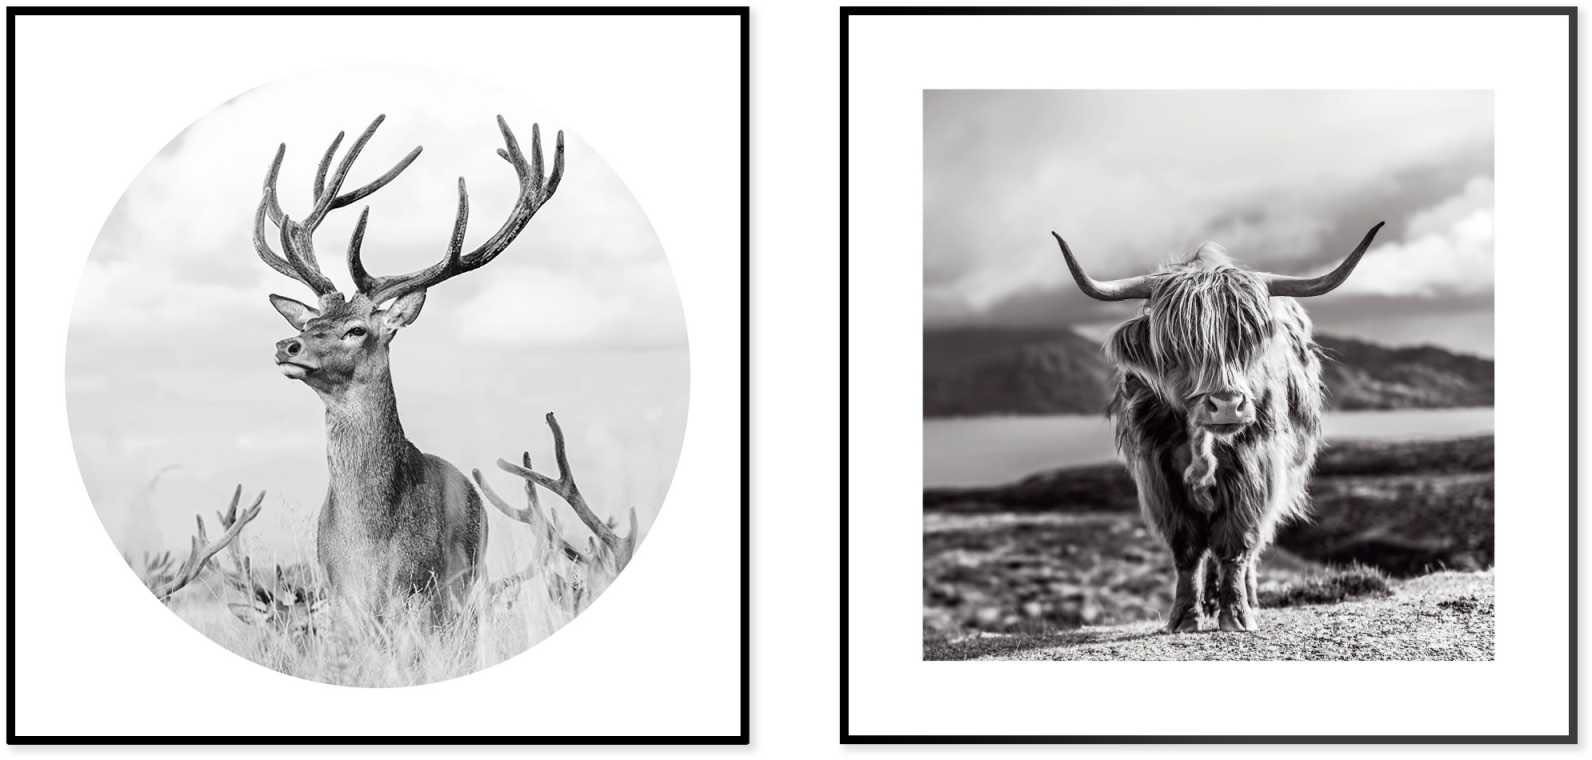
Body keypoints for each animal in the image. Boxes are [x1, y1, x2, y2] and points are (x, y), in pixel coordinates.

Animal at [252, 114, 565, 624]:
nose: (286, 344)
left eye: (357, 329)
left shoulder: (419, 591)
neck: (370, 543)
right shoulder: (340, 597)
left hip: (465, 583)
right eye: (311, 322)